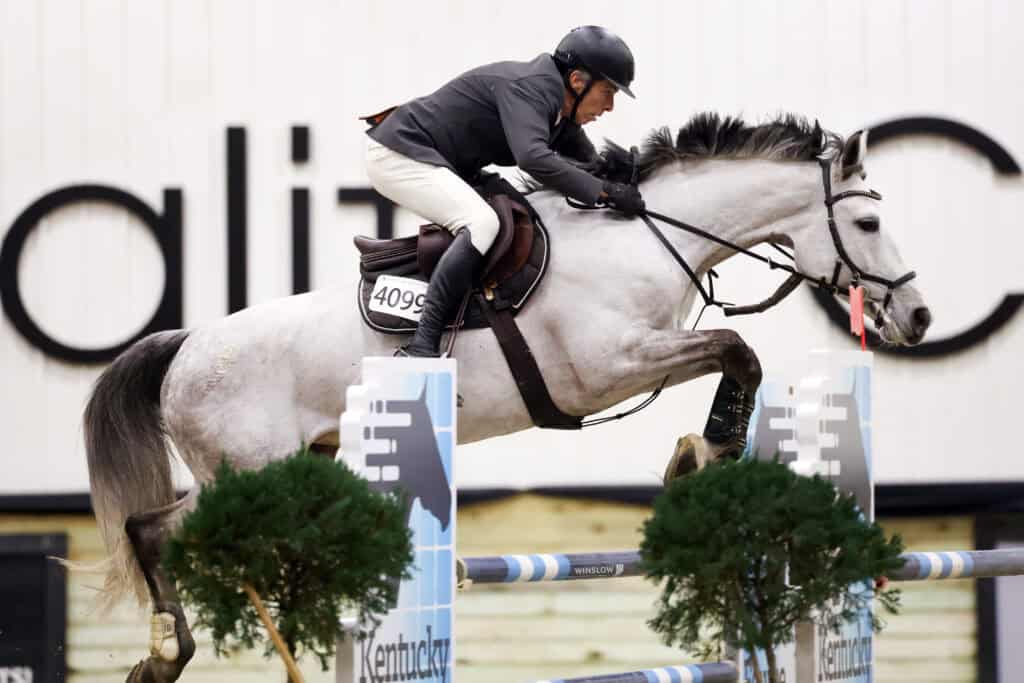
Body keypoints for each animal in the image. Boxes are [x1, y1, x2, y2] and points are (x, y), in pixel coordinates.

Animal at [81, 113, 930, 681]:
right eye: (868, 220)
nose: (918, 317)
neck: (643, 237)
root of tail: (185, 346)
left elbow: (735, 355)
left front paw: (702, 452)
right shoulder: (606, 365)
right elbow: (735, 350)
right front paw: (705, 450)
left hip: (299, 467)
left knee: (164, 530)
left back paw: (170, 653)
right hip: (251, 471)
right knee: (154, 529)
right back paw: (170, 650)